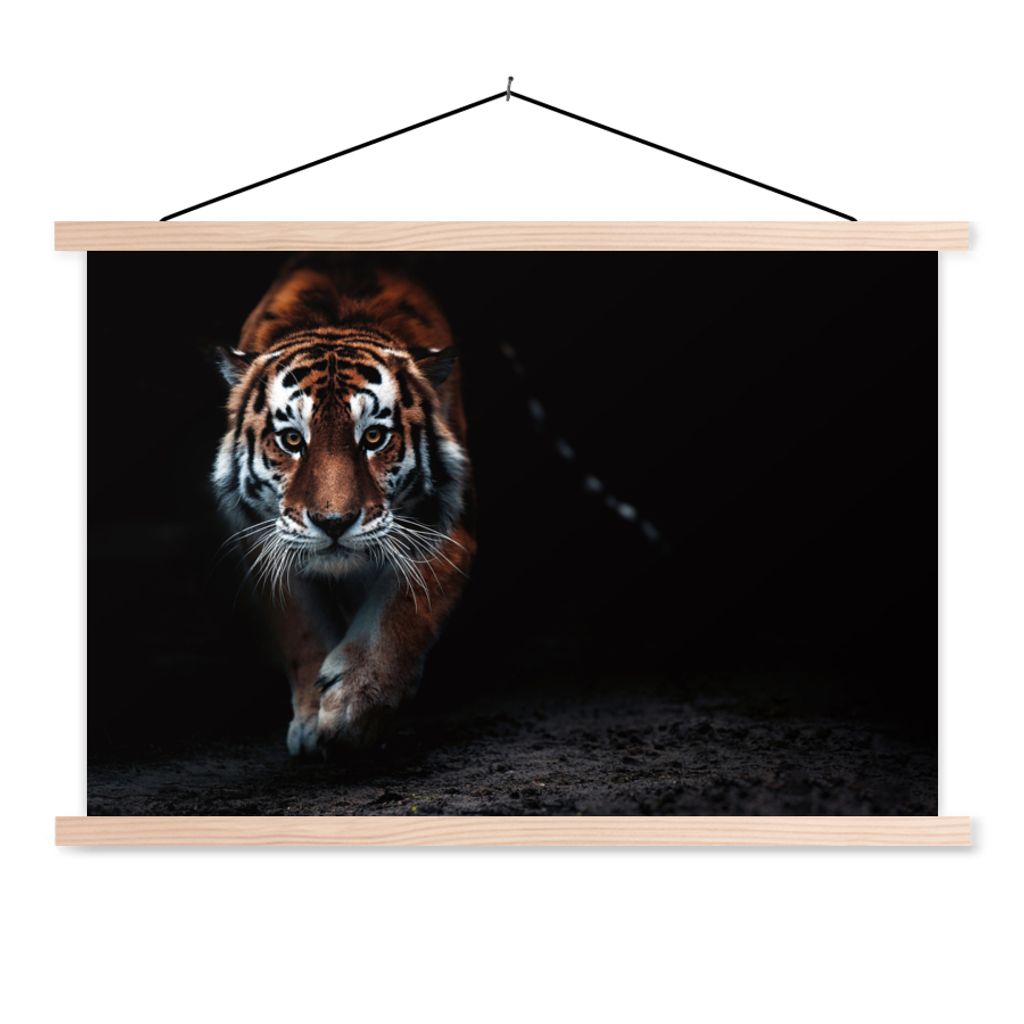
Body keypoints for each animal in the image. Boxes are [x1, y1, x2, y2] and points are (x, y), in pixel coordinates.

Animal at [212, 255, 475, 755]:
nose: (333, 522)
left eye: (373, 437)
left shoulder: (447, 529)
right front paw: (312, 722)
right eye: (292, 440)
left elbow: (404, 609)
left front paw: (355, 706)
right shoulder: (263, 539)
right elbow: (302, 626)